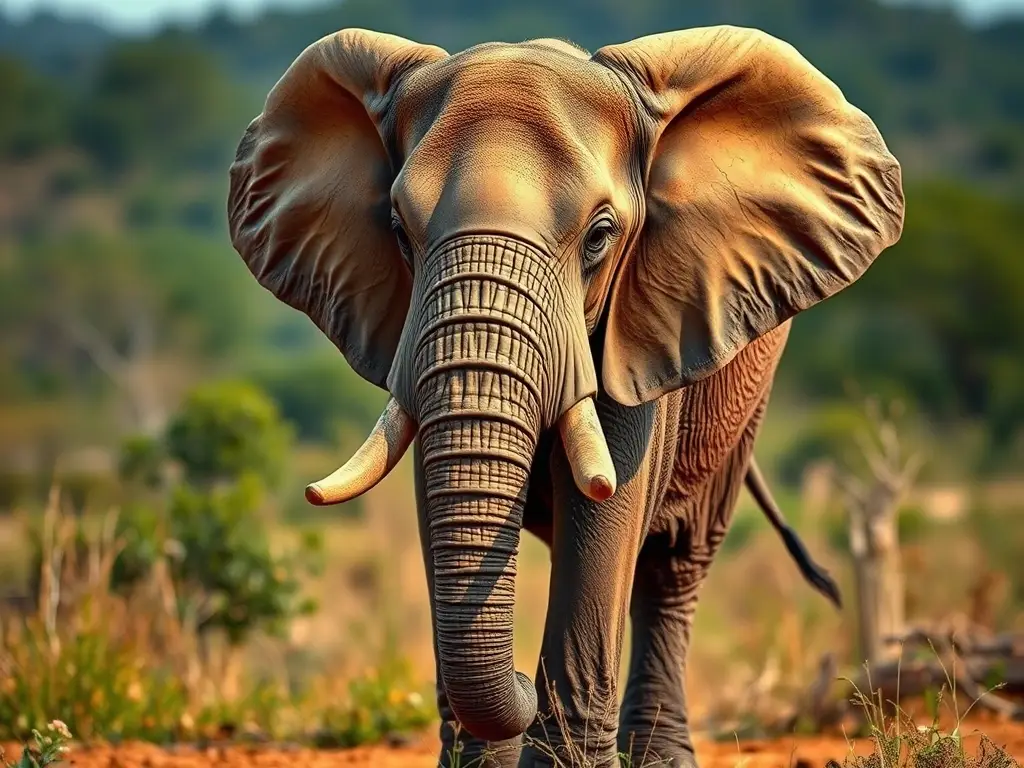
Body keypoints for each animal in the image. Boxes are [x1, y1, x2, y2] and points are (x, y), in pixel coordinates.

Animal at [227, 24, 904, 767]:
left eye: (601, 236)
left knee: (676, 566)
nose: (521, 681)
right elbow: (435, 499)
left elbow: (607, 511)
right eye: (400, 232)